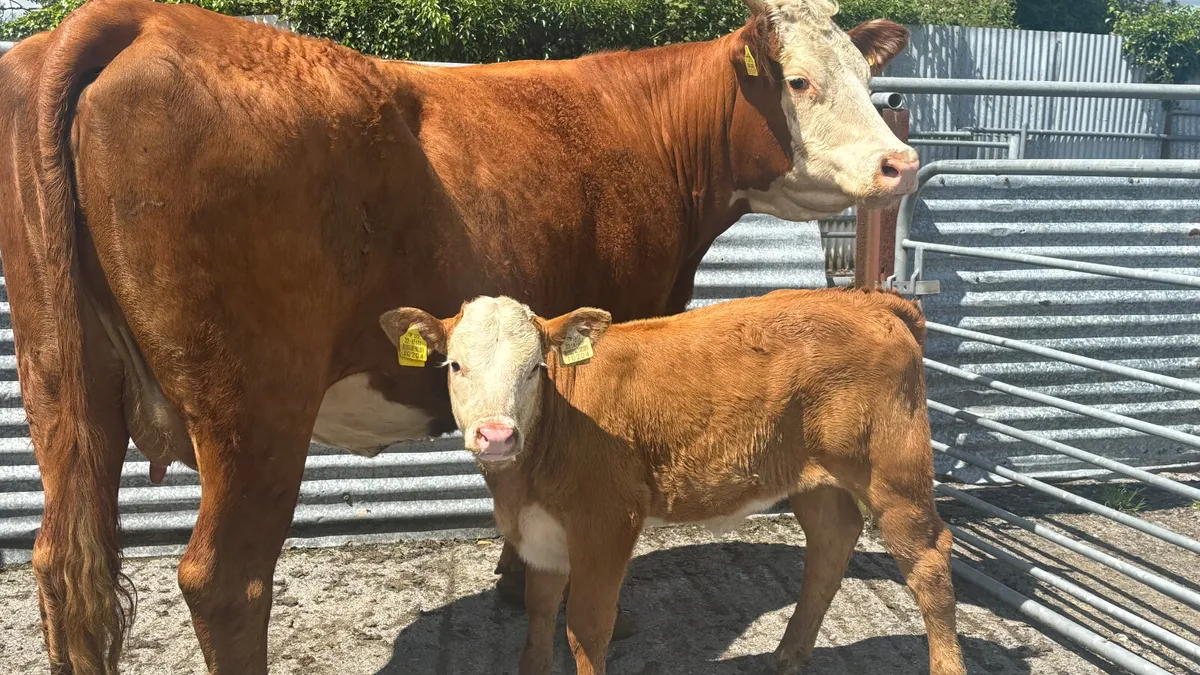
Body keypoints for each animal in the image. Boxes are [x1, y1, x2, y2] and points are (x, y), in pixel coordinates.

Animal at [377, 289, 965, 675]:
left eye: (535, 370)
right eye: (455, 366)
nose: (497, 435)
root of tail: (868, 300)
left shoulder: (607, 521)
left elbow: (587, 627)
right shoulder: (541, 530)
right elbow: (540, 614)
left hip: (893, 469)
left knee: (929, 560)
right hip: (817, 478)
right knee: (830, 544)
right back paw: (787, 655)